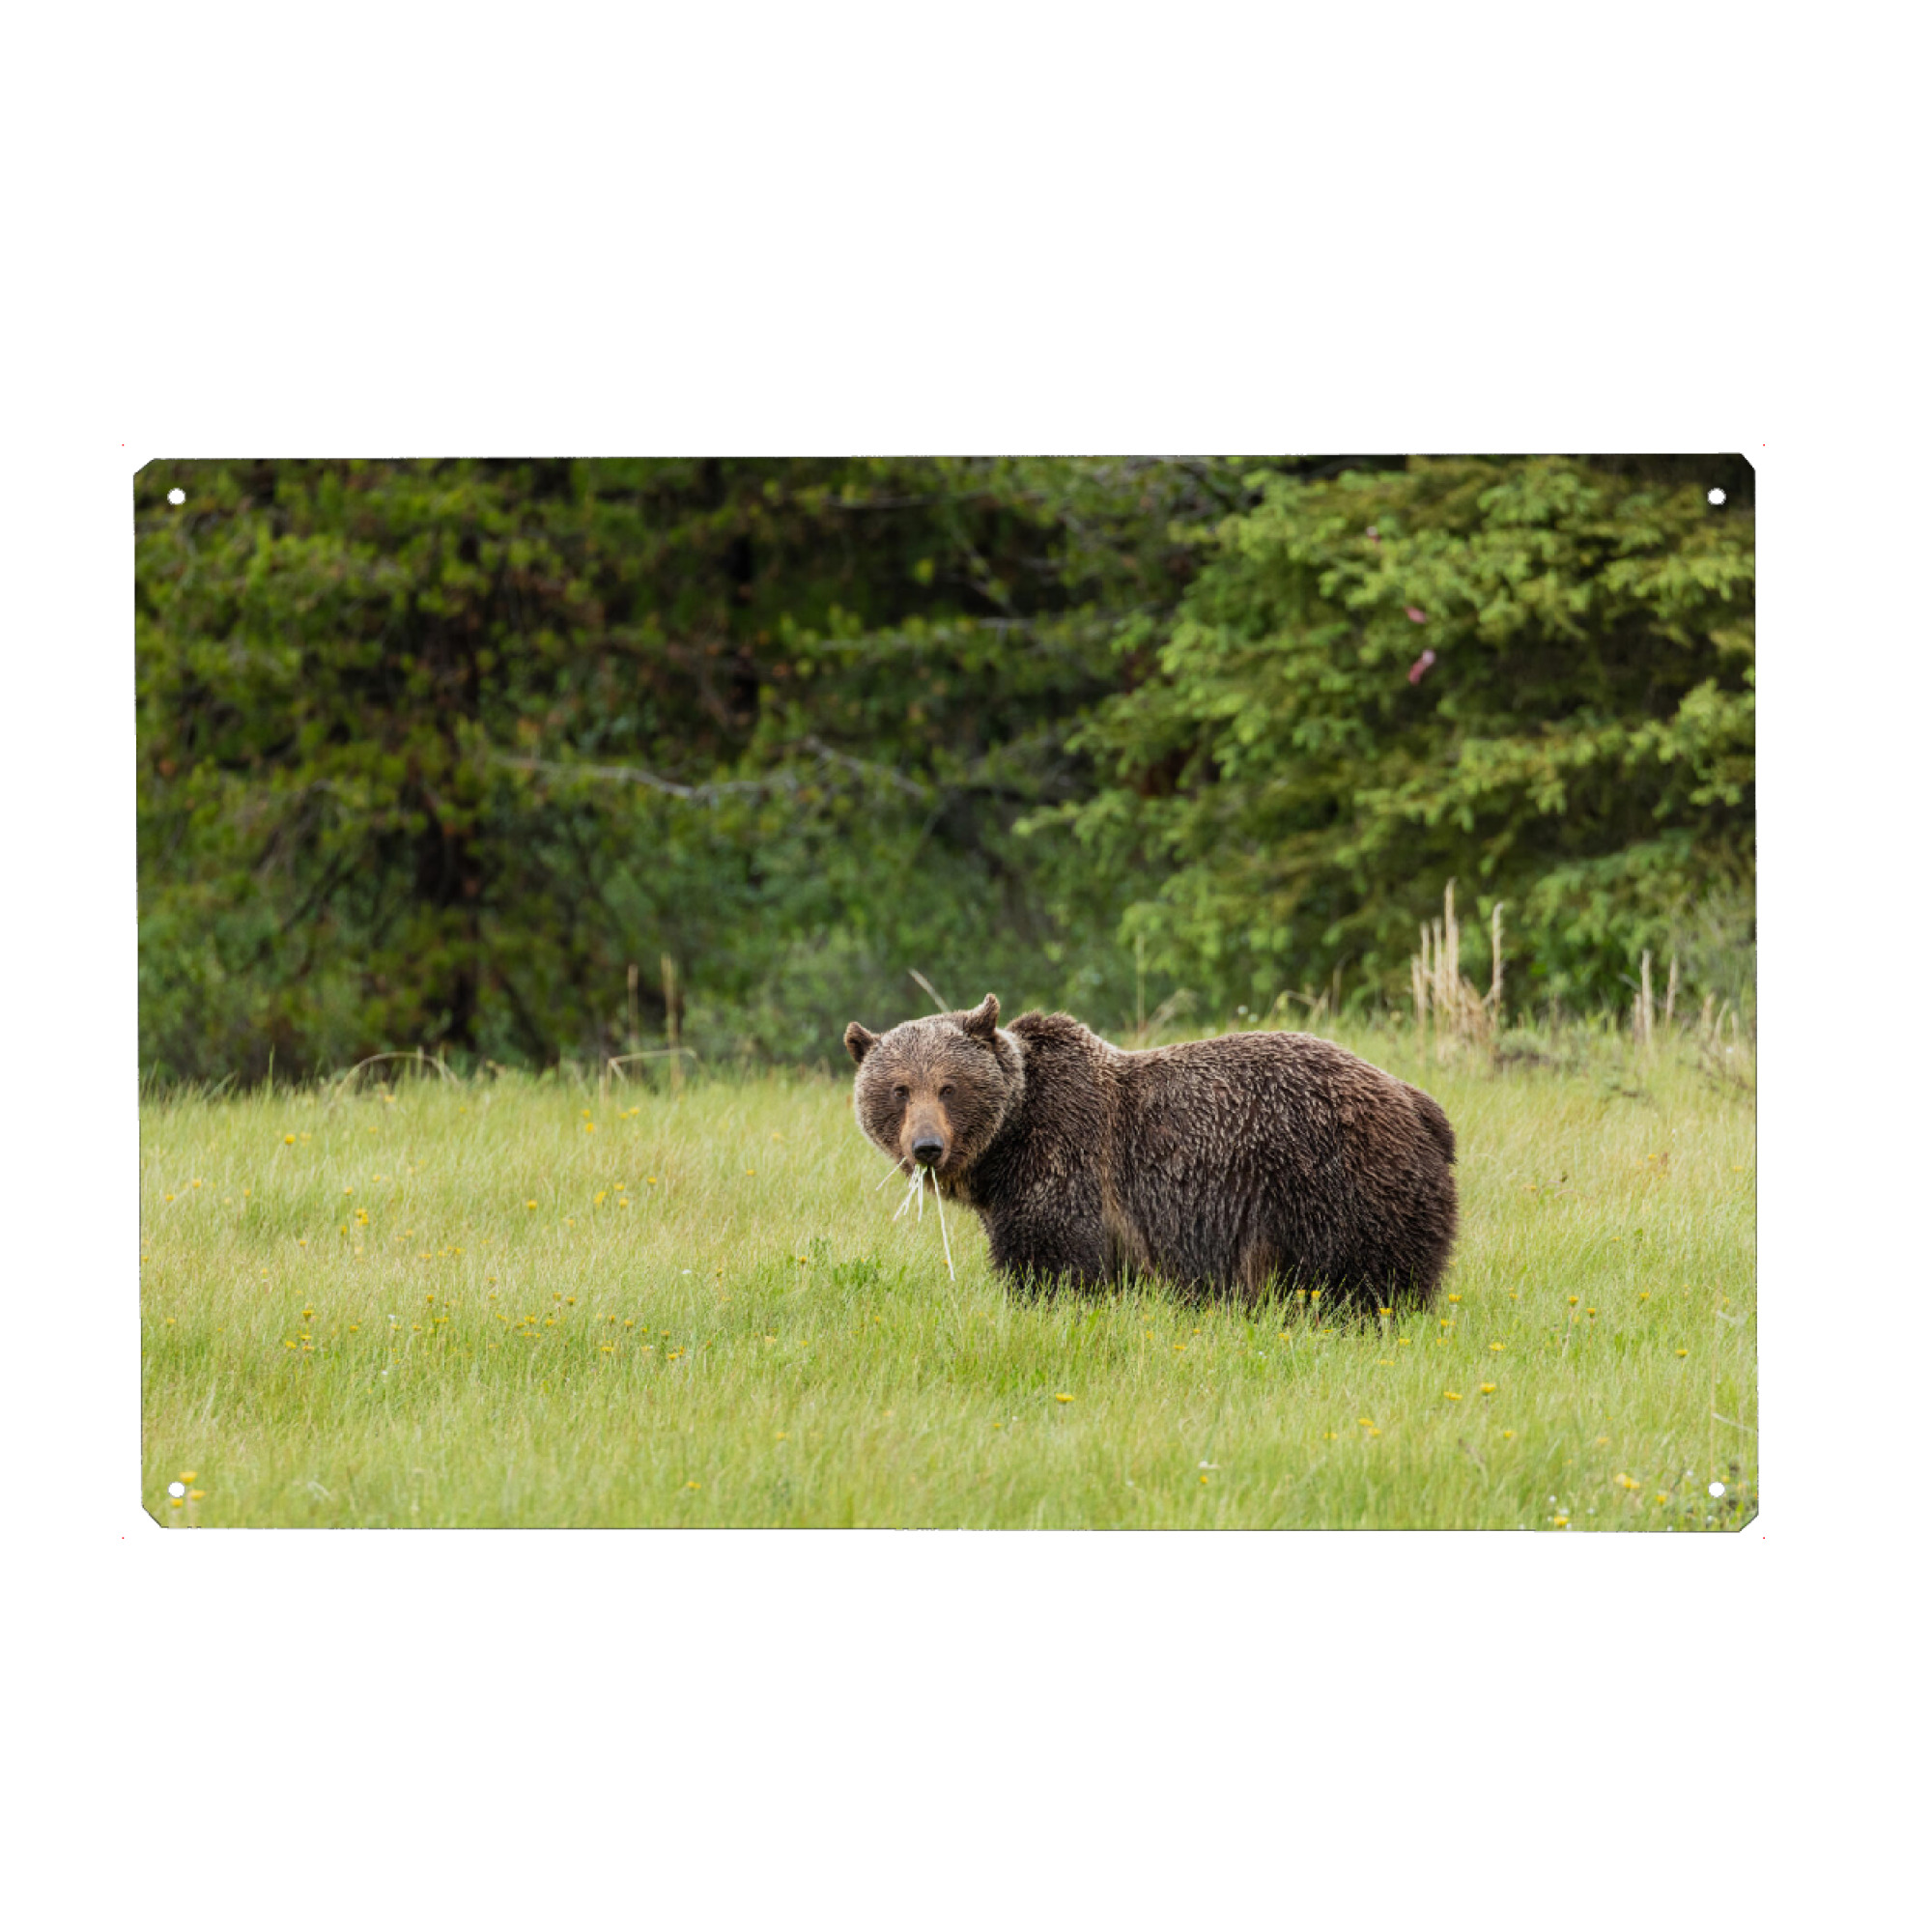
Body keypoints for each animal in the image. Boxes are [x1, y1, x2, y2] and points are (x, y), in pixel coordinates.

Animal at [844, 993, 1457, 1308]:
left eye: (949, 1086)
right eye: (899, 1089)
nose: (927, 1147)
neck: (1008, 1140)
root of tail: (1419, 1102)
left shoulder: (1066, 1160)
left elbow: (1054, 1256)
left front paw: (1043, 1301)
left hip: (1341, 1179)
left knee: (1369, 1275)